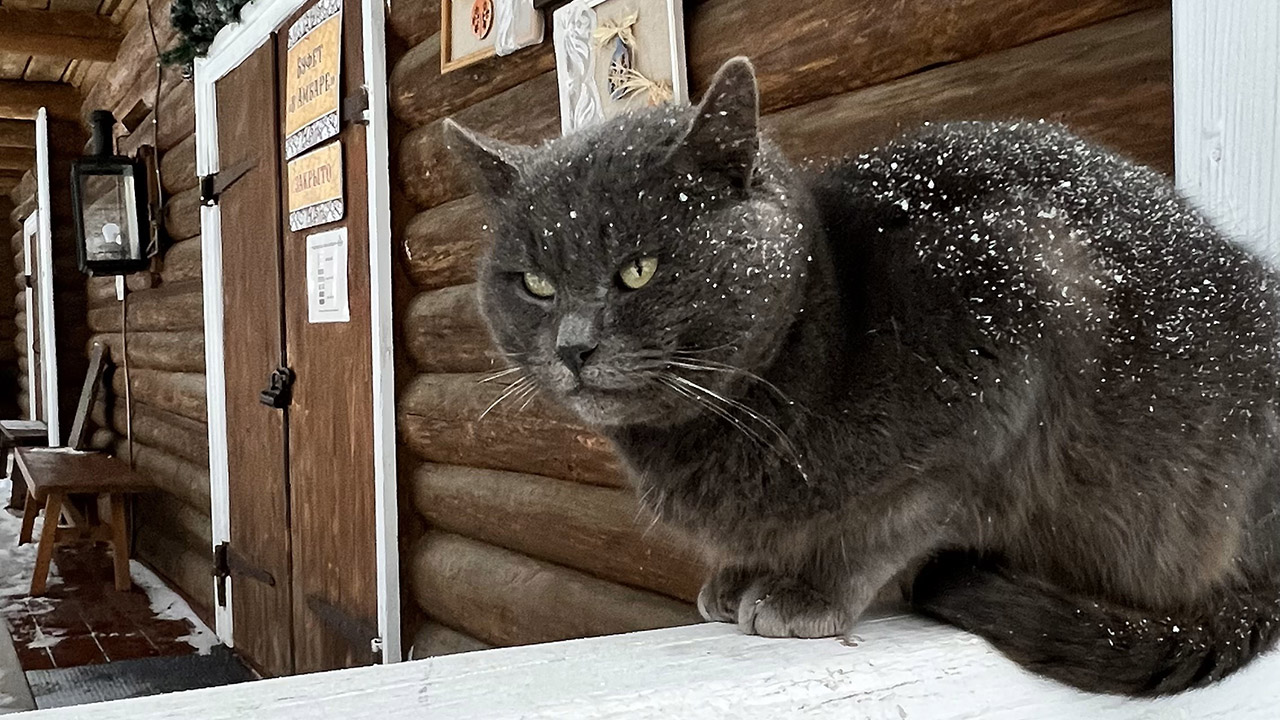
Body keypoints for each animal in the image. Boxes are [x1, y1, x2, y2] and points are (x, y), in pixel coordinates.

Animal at [442, 58, 1280, 691]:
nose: (572, 347)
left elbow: (890, 521)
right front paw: (743, 573)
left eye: (638, 270)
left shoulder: (1002, 344)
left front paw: (805, 590)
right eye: (534, 284)